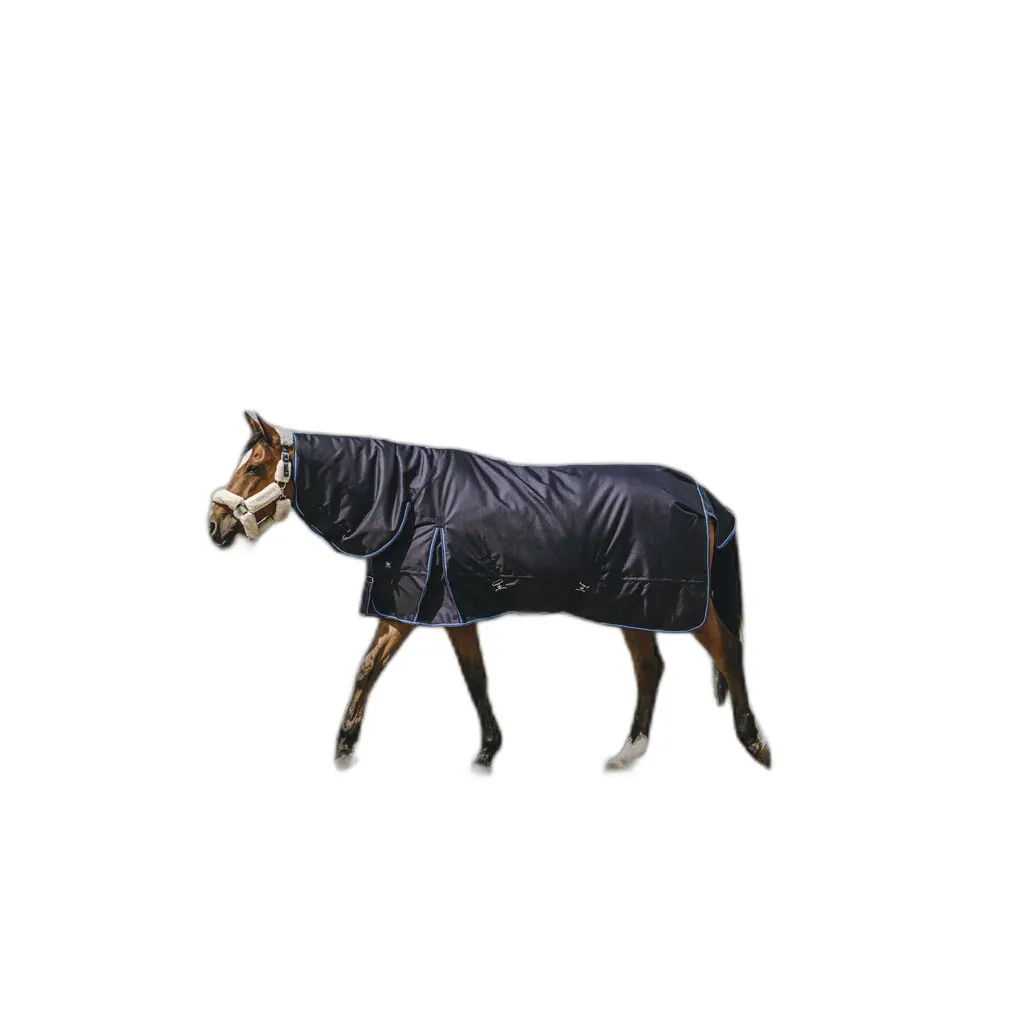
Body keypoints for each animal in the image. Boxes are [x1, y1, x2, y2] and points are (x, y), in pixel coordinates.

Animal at [209, 411, 770, 771]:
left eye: (254, 467)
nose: (215, 524)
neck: (407, 496)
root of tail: (701, 496)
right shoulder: (447, 608)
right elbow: (467, 676)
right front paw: (486, 750)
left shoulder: (416, 604)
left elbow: (374, 668)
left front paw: (344, 749)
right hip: (634, 603)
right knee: (650, 668)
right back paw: (627, 752)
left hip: (675, 601)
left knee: (727, 649)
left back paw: (755, 744)